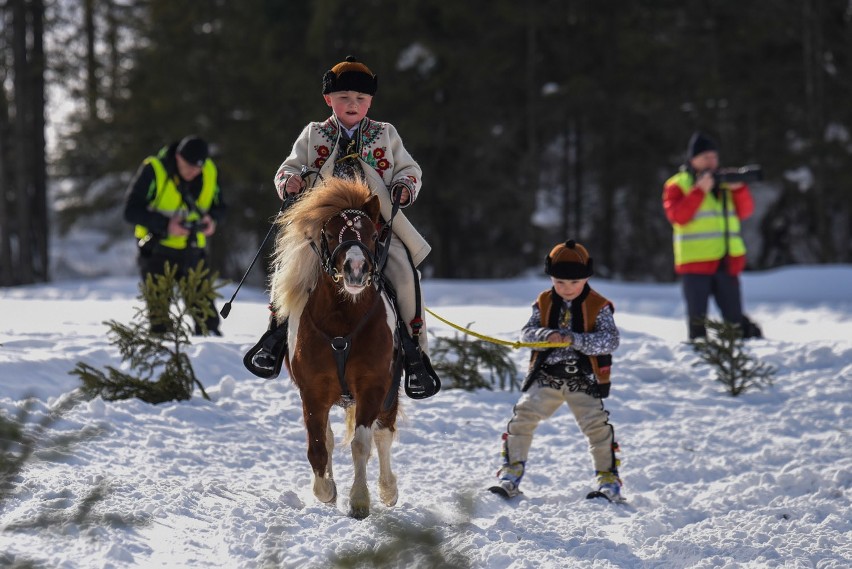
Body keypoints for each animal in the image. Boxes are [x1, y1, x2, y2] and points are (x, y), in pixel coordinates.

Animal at [272, 178, 402, 520]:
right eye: (330, 234)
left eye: (373, 234)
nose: (356, 268)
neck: (344, 321)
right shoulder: (313, 391)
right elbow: (319, 445)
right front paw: (326, 490)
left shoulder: (373, 386)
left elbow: (362, 444)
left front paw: (360, 500)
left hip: (390, 392)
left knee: (384, 433)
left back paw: (388, 490)